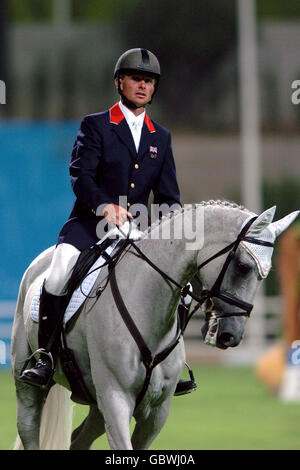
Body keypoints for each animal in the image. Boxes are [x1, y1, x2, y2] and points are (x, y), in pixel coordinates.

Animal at [10, 200, 298, 450]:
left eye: (264, 274)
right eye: (242, 266)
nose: (230, 336)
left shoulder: (155, 412)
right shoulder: (116, 399)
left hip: (96, 405)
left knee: (78, 440)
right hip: (29, 388)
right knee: (30, 428)